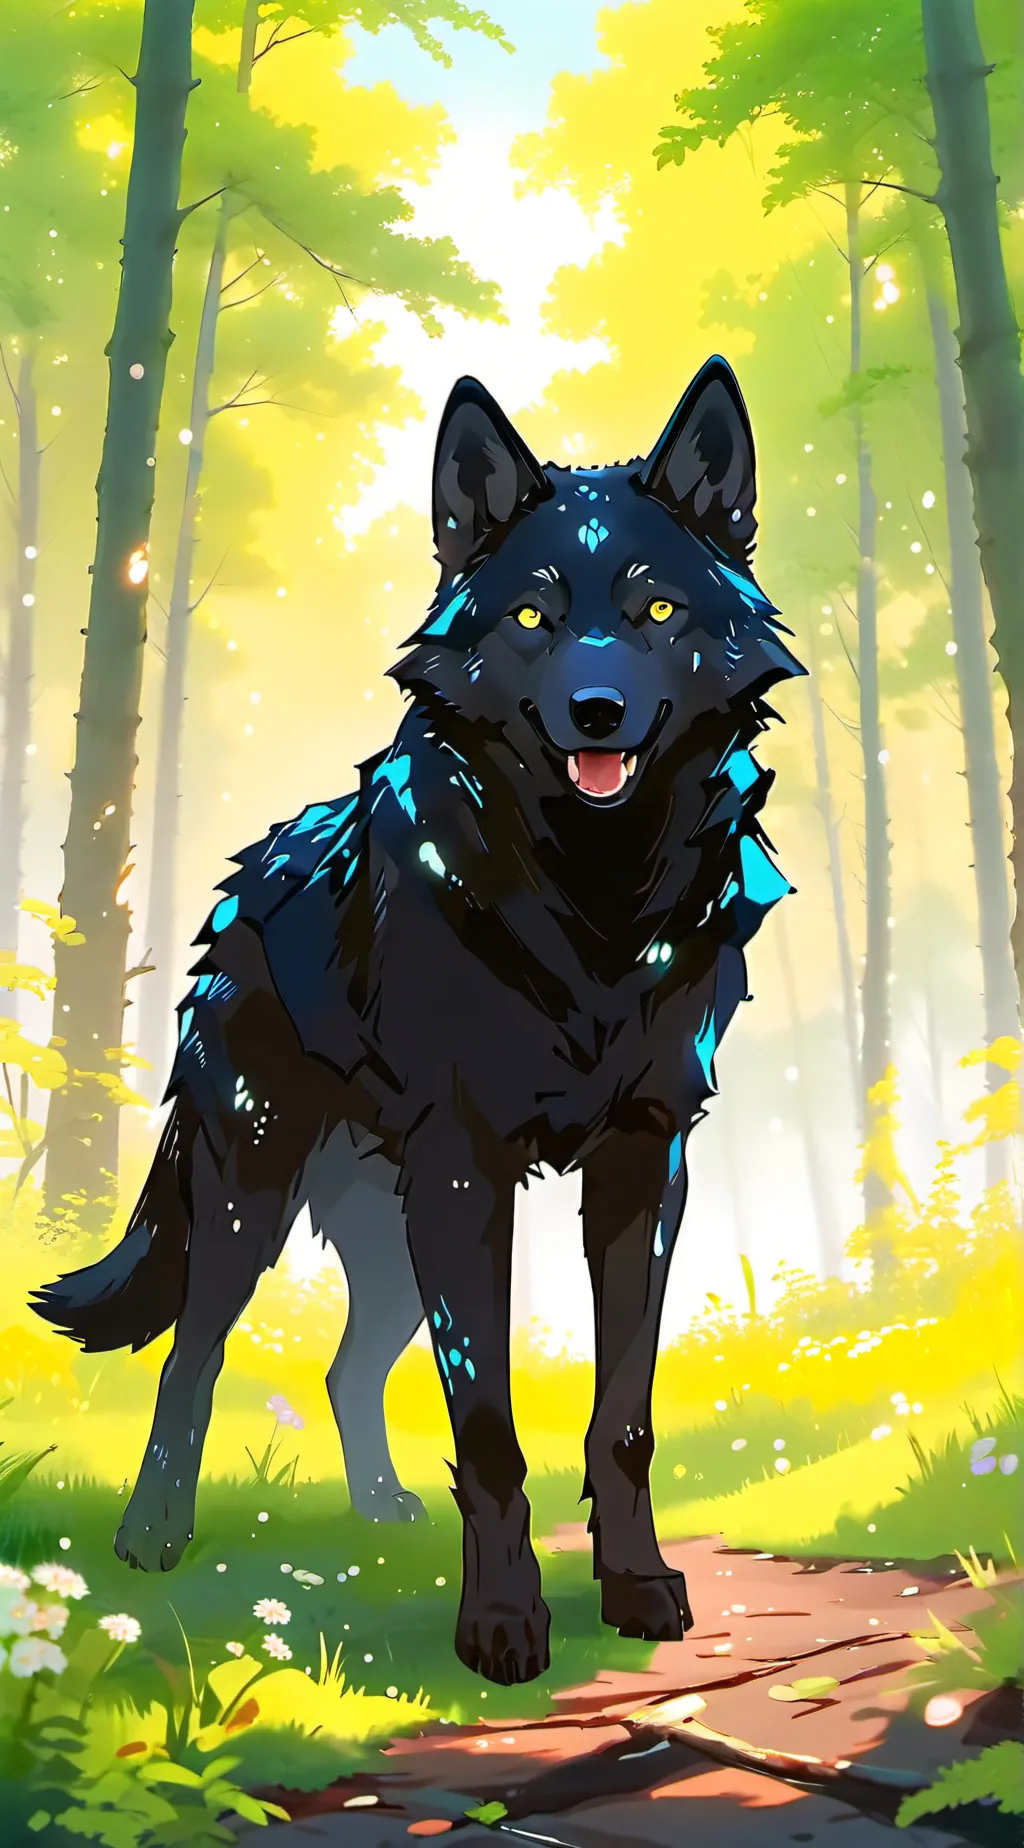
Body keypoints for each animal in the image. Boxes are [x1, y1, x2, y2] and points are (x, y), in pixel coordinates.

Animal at [34, 356, 802, 1686]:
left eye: (655, 611)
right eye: (534, 619)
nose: (596, 710)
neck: (593, 906)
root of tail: (233, 890)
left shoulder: (647, 1166)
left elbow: (623, 1416)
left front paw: (636, 1586)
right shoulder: (465, 1173)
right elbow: (489, 1429)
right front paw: (501, 1625)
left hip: (389, 1248)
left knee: (346, 1370)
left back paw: (381, 1511)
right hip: (252, 1200)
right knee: (192, 1356)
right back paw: (152, 1537)